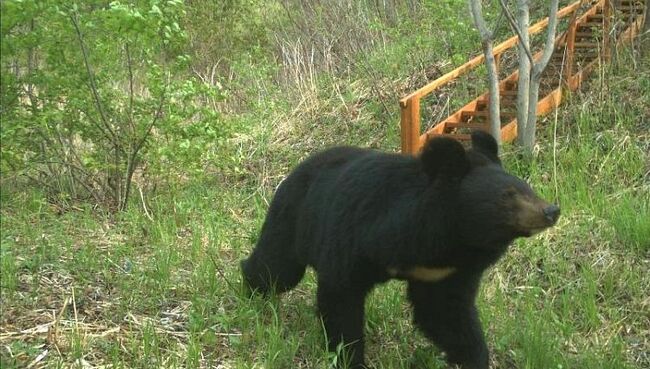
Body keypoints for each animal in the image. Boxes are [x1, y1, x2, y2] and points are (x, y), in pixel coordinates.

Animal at [240, 132, 560, 368]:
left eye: (528, 188)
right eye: (508, 195)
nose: (551, 210)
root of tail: (299, 166)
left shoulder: (443, 272)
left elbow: (445, 313)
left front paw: (473, 357)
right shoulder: (356, 236)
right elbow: (341, 298)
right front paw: (349, 357)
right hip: (293, 217)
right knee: (276, 269)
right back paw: (249, 290)